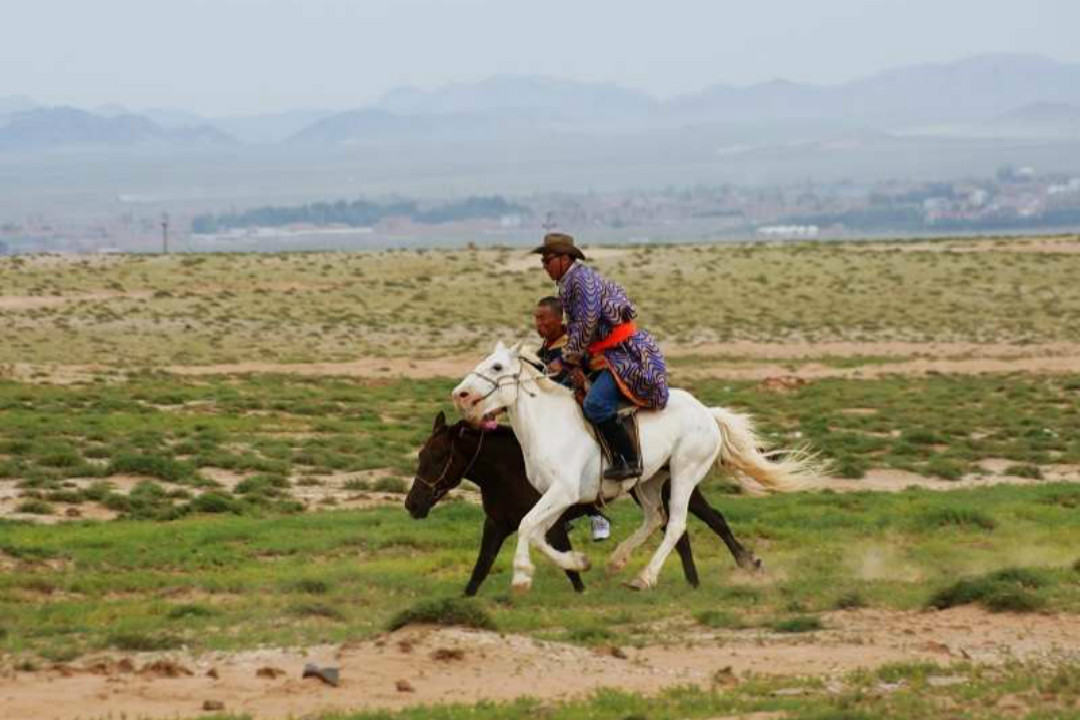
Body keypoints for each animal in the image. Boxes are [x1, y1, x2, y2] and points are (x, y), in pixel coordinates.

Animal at [405, 411, 762, 596]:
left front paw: (579, 576)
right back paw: (689, 579)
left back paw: (744, 564)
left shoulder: (552, 523)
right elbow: (480, 567)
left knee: (706, 521)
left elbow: (566, 566)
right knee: (677, 528)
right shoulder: (496, 524)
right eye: (421, 455)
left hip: (678, 485)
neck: (507, 468)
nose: (412, 504)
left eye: (438, 457)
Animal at [451, 341, 824, 592]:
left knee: (675, 524)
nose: (460, 394)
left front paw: (520, 575)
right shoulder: (554, 497)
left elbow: (529, 526)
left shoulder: (563, 492)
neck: (549, 425)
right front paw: (579, 561)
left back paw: (644, 577)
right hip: (647, 480)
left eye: (497, 367)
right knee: (655, 517)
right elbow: (540, 533)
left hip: (684, 474)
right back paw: (618, 561)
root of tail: (707, 412)